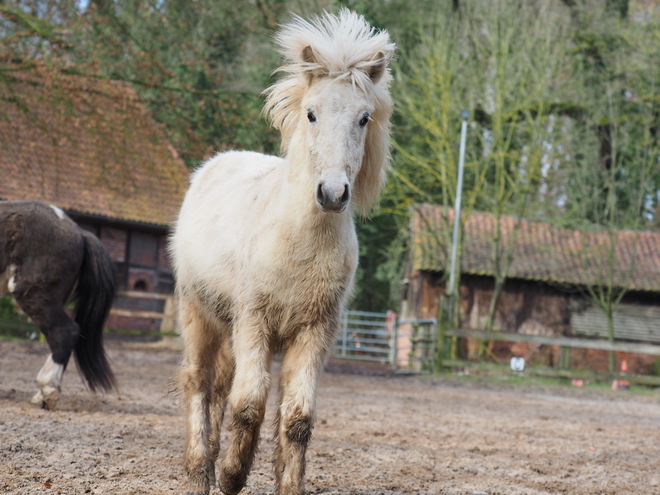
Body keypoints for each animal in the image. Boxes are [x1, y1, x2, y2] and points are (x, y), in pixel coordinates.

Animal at [171, 8, 398, 495]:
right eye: (311, 113)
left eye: (364, 118)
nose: (333, 193)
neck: (299, 246)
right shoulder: (255, 322)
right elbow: (250, 404)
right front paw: (231, 475)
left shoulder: (314, 332)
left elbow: (296, 417)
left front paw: (284, 482)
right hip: (198, 313)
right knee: (199, 382)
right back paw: (200, 470)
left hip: (228, 327)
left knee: (219, 387)